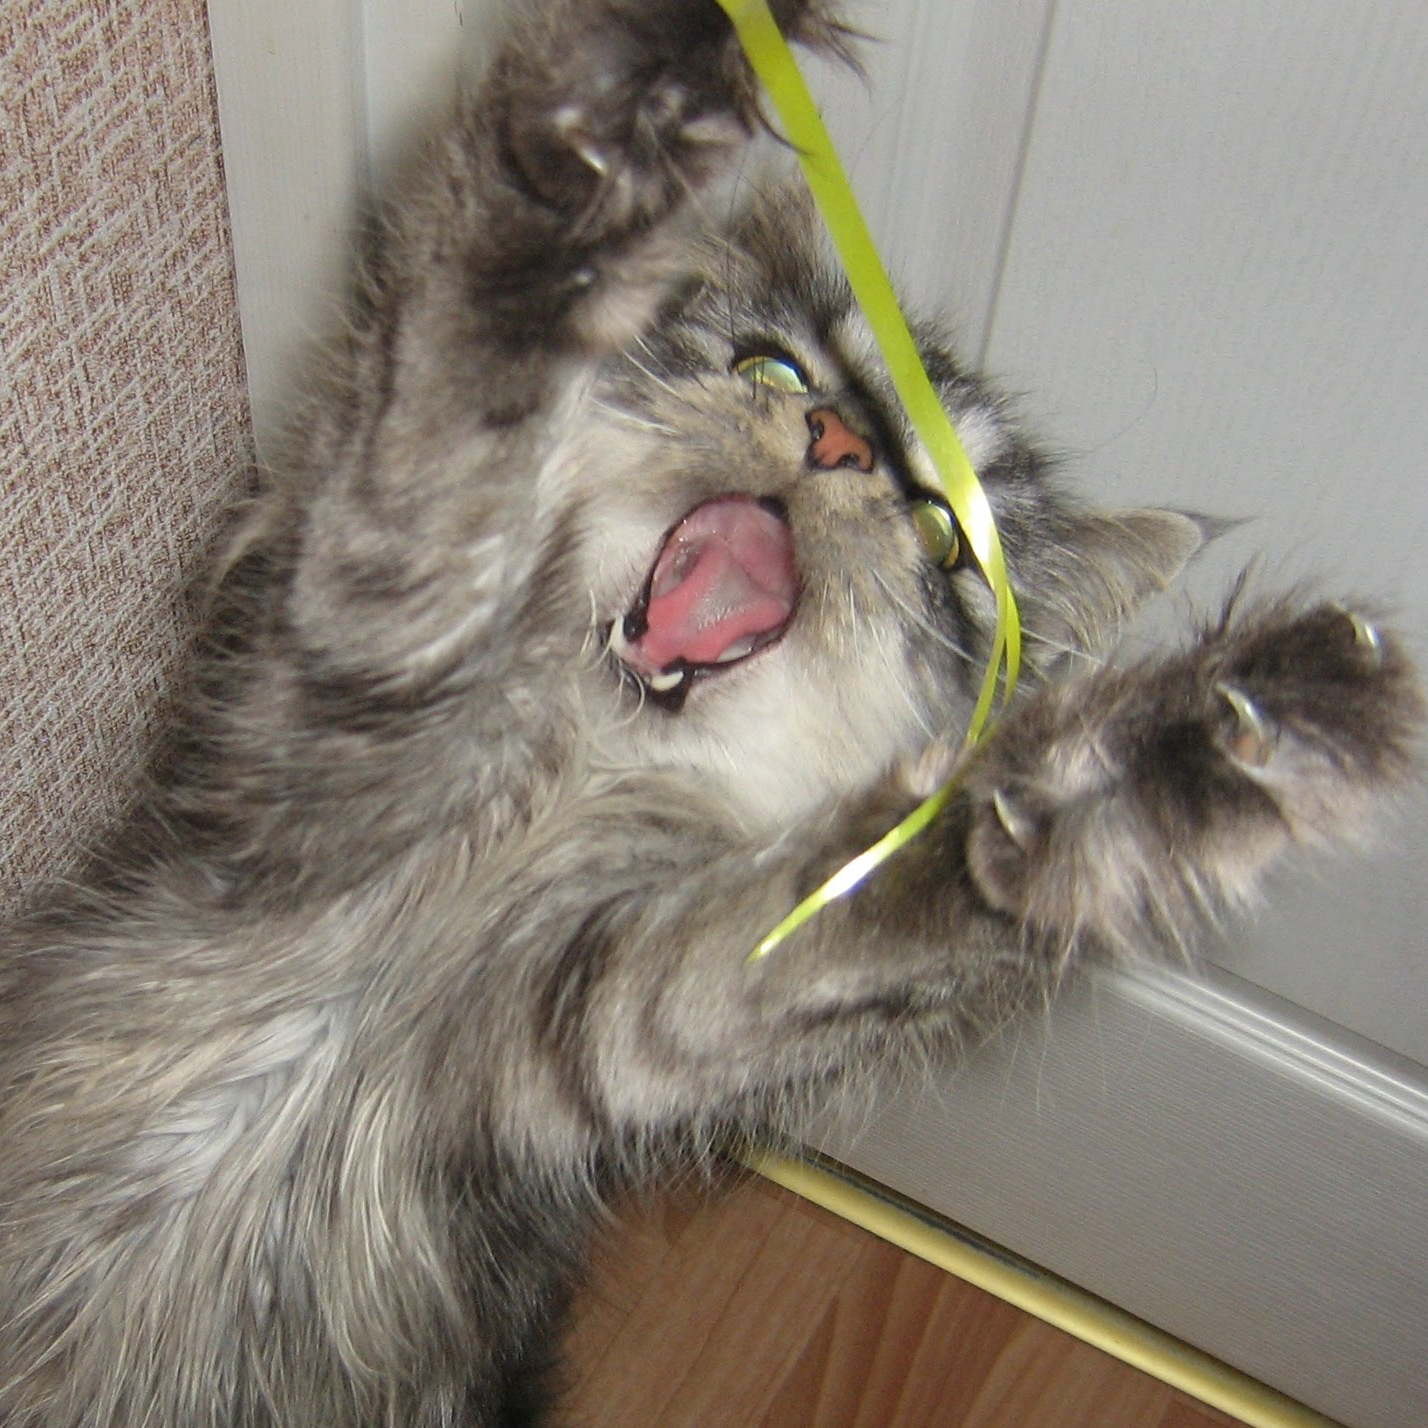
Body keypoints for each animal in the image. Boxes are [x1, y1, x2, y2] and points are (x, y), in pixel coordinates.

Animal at [0, 1, 1419, 1425]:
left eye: (942, 537)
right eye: (777, 367)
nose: (838, 445)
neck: (574, 763)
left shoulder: (613, 1009)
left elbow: (929, 867)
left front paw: (1211, 747)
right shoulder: (346, 674)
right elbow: (472, 381)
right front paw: (611, 117)